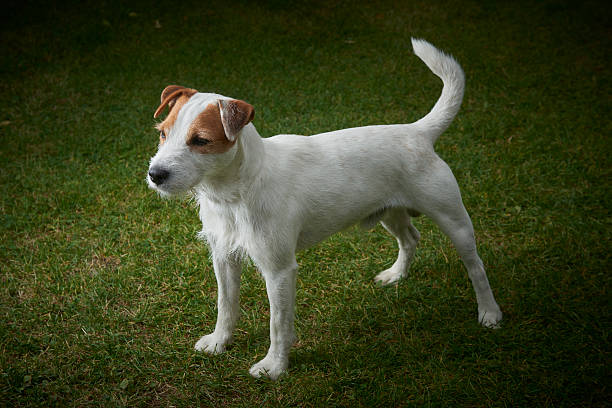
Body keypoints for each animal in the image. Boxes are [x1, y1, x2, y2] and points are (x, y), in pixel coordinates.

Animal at [147, 38, 502, 380]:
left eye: (201, 141)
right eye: (163, 133)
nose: (155, 174)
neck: (234, 193)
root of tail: (417, 131)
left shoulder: (278, 270)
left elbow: (278, 324)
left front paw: (274, 367)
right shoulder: (223, 257)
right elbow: (226, 304)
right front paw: (220, 341)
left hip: (454, 221)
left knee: (476, 266)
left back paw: (489, 313)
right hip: (390, 213)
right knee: (410, 238)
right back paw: (397, 275)